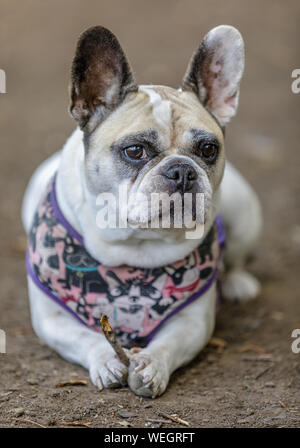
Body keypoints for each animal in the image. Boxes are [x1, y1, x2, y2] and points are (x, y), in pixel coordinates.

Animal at [21, 25, 262, 396]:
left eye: (209, 149)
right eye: (135, 151)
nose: (182, 170)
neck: (139, 244)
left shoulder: (194, 322)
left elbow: (171, 343)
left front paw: (152, 365)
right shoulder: (51, 320)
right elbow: (84, 336)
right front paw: (106, 359)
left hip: (244, 210)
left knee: (235, 257)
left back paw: (237, 283)